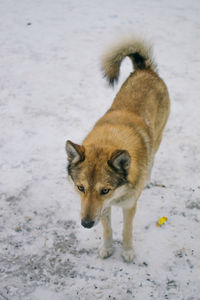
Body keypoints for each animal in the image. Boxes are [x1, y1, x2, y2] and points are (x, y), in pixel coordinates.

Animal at [65, 35, 170, 262]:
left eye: (105, 190)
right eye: (80, 188)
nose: (86, 224)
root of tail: (145, 70)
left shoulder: (129, 206)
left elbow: (126, 230)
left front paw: (128, 251)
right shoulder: (103, 208)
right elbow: (108, 229)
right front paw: (106, 248)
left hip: (158, 137)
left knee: (153, 159)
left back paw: (147, 179)